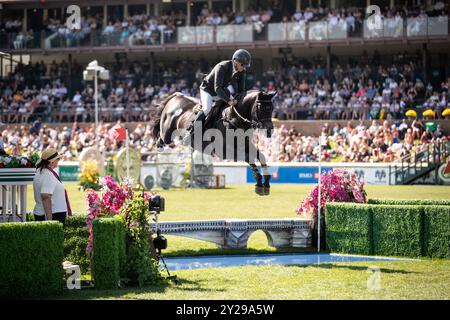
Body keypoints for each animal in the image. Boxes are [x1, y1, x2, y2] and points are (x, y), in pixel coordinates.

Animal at [150, 89, 278, 195]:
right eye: (261, 108)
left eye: (272, 108)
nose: (269, 130)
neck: (235, 118)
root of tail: (176, 97)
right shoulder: (227, 151)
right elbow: (249, 158)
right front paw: (259, 184)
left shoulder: (246, 145)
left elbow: (261, 157)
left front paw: (266, 183)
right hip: (166, 133)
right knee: (161, 138)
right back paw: (161, 147)